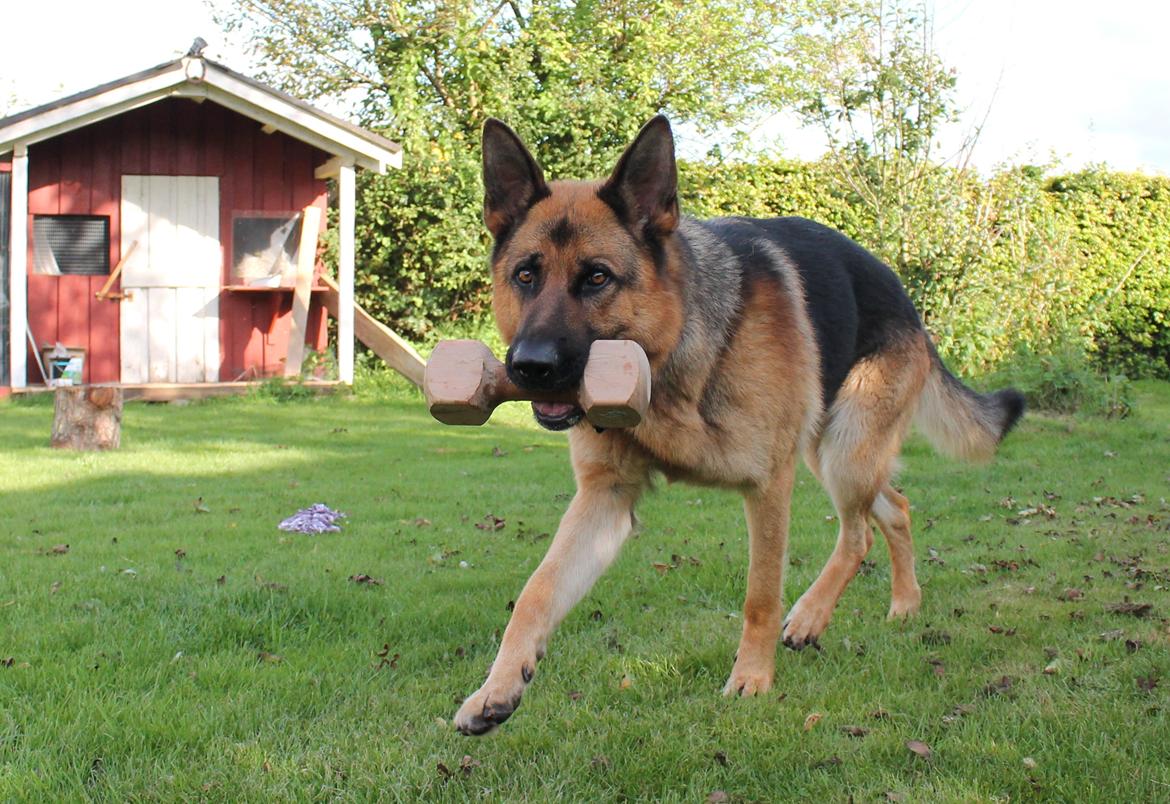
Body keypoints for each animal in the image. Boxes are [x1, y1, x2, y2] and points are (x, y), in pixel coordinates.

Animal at [451, 114, 1020, 734]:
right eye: (526, 276)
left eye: (597, 278)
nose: (530, 367)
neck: (672, 367)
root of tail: (905, 299)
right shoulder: (605, 499)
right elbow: (537, 591)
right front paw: (497, 687)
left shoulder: (767, 486)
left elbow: (760, 596)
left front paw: (751, 680)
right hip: (833, 450)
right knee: (894, 508)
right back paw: (904, 602)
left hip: (844, 451)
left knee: (861, 530)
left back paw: (811, 615)